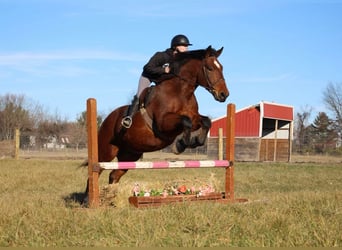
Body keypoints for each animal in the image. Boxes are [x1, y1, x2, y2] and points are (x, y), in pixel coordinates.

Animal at [84, 45, 228, 197]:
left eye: (221, 67)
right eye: (210, 68)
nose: (224, 94)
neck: (181, 92)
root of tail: (107, 119)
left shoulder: (194, 118)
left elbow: (205, 121)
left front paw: (196, 141)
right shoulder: (163, 123)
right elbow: (186, 121)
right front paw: (180, 145)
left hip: (130, 154)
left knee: (114, 174)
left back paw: (111, 196)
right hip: (106, 151)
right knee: (96, 171)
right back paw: (88, 199)